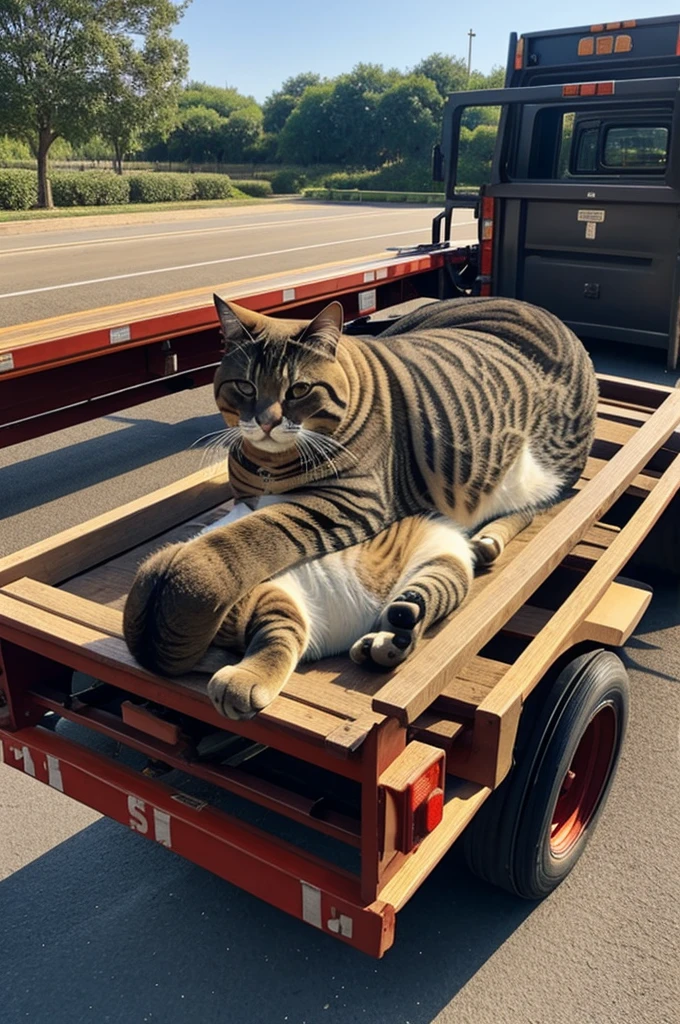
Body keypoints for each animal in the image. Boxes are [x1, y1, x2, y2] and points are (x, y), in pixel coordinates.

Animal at [124, 292, 598, 716]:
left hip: (548, 471)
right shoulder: (250, 495)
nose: (266, 421)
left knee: (536, 503)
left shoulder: (347, 501)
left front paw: (182, 597)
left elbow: (246, 537)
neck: (269, 465)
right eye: (244, 386)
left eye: (299, 389)